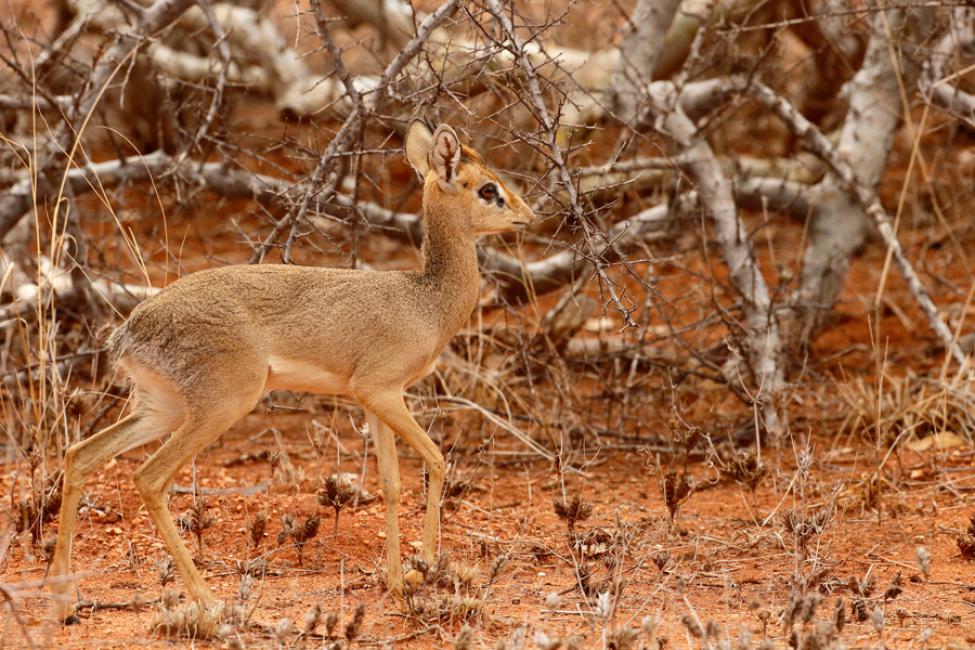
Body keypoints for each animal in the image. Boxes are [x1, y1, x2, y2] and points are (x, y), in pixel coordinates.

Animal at [50, 119, 536, 620]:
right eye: (488, 189)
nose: (529, 215)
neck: (426, 302)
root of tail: (129, 330)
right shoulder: (381, 391)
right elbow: (437, 460)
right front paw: (421, 571)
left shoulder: (375, 402)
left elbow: (391, 483)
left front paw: (398, 581)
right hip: (220, 408)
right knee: (148, 478)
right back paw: (209, 601)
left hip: (161, 408)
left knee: (80, 454)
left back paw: (66, 601)